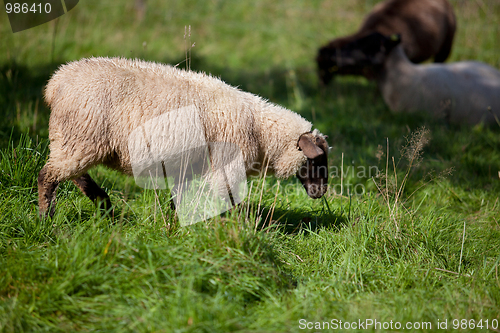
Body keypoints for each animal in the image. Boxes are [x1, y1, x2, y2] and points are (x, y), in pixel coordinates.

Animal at [37, 57, 330, 218]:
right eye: (315, 160)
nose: (321, 192)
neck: (259, 129)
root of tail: (56, 82)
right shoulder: (224, 165)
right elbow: (226, 199)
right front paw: (233, 228)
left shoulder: (190, 165)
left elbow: (183, 198)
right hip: (81, 136)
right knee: (48, 176)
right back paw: (46, 218)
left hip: (75, 140)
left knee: (75, 174)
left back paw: (103, 204)